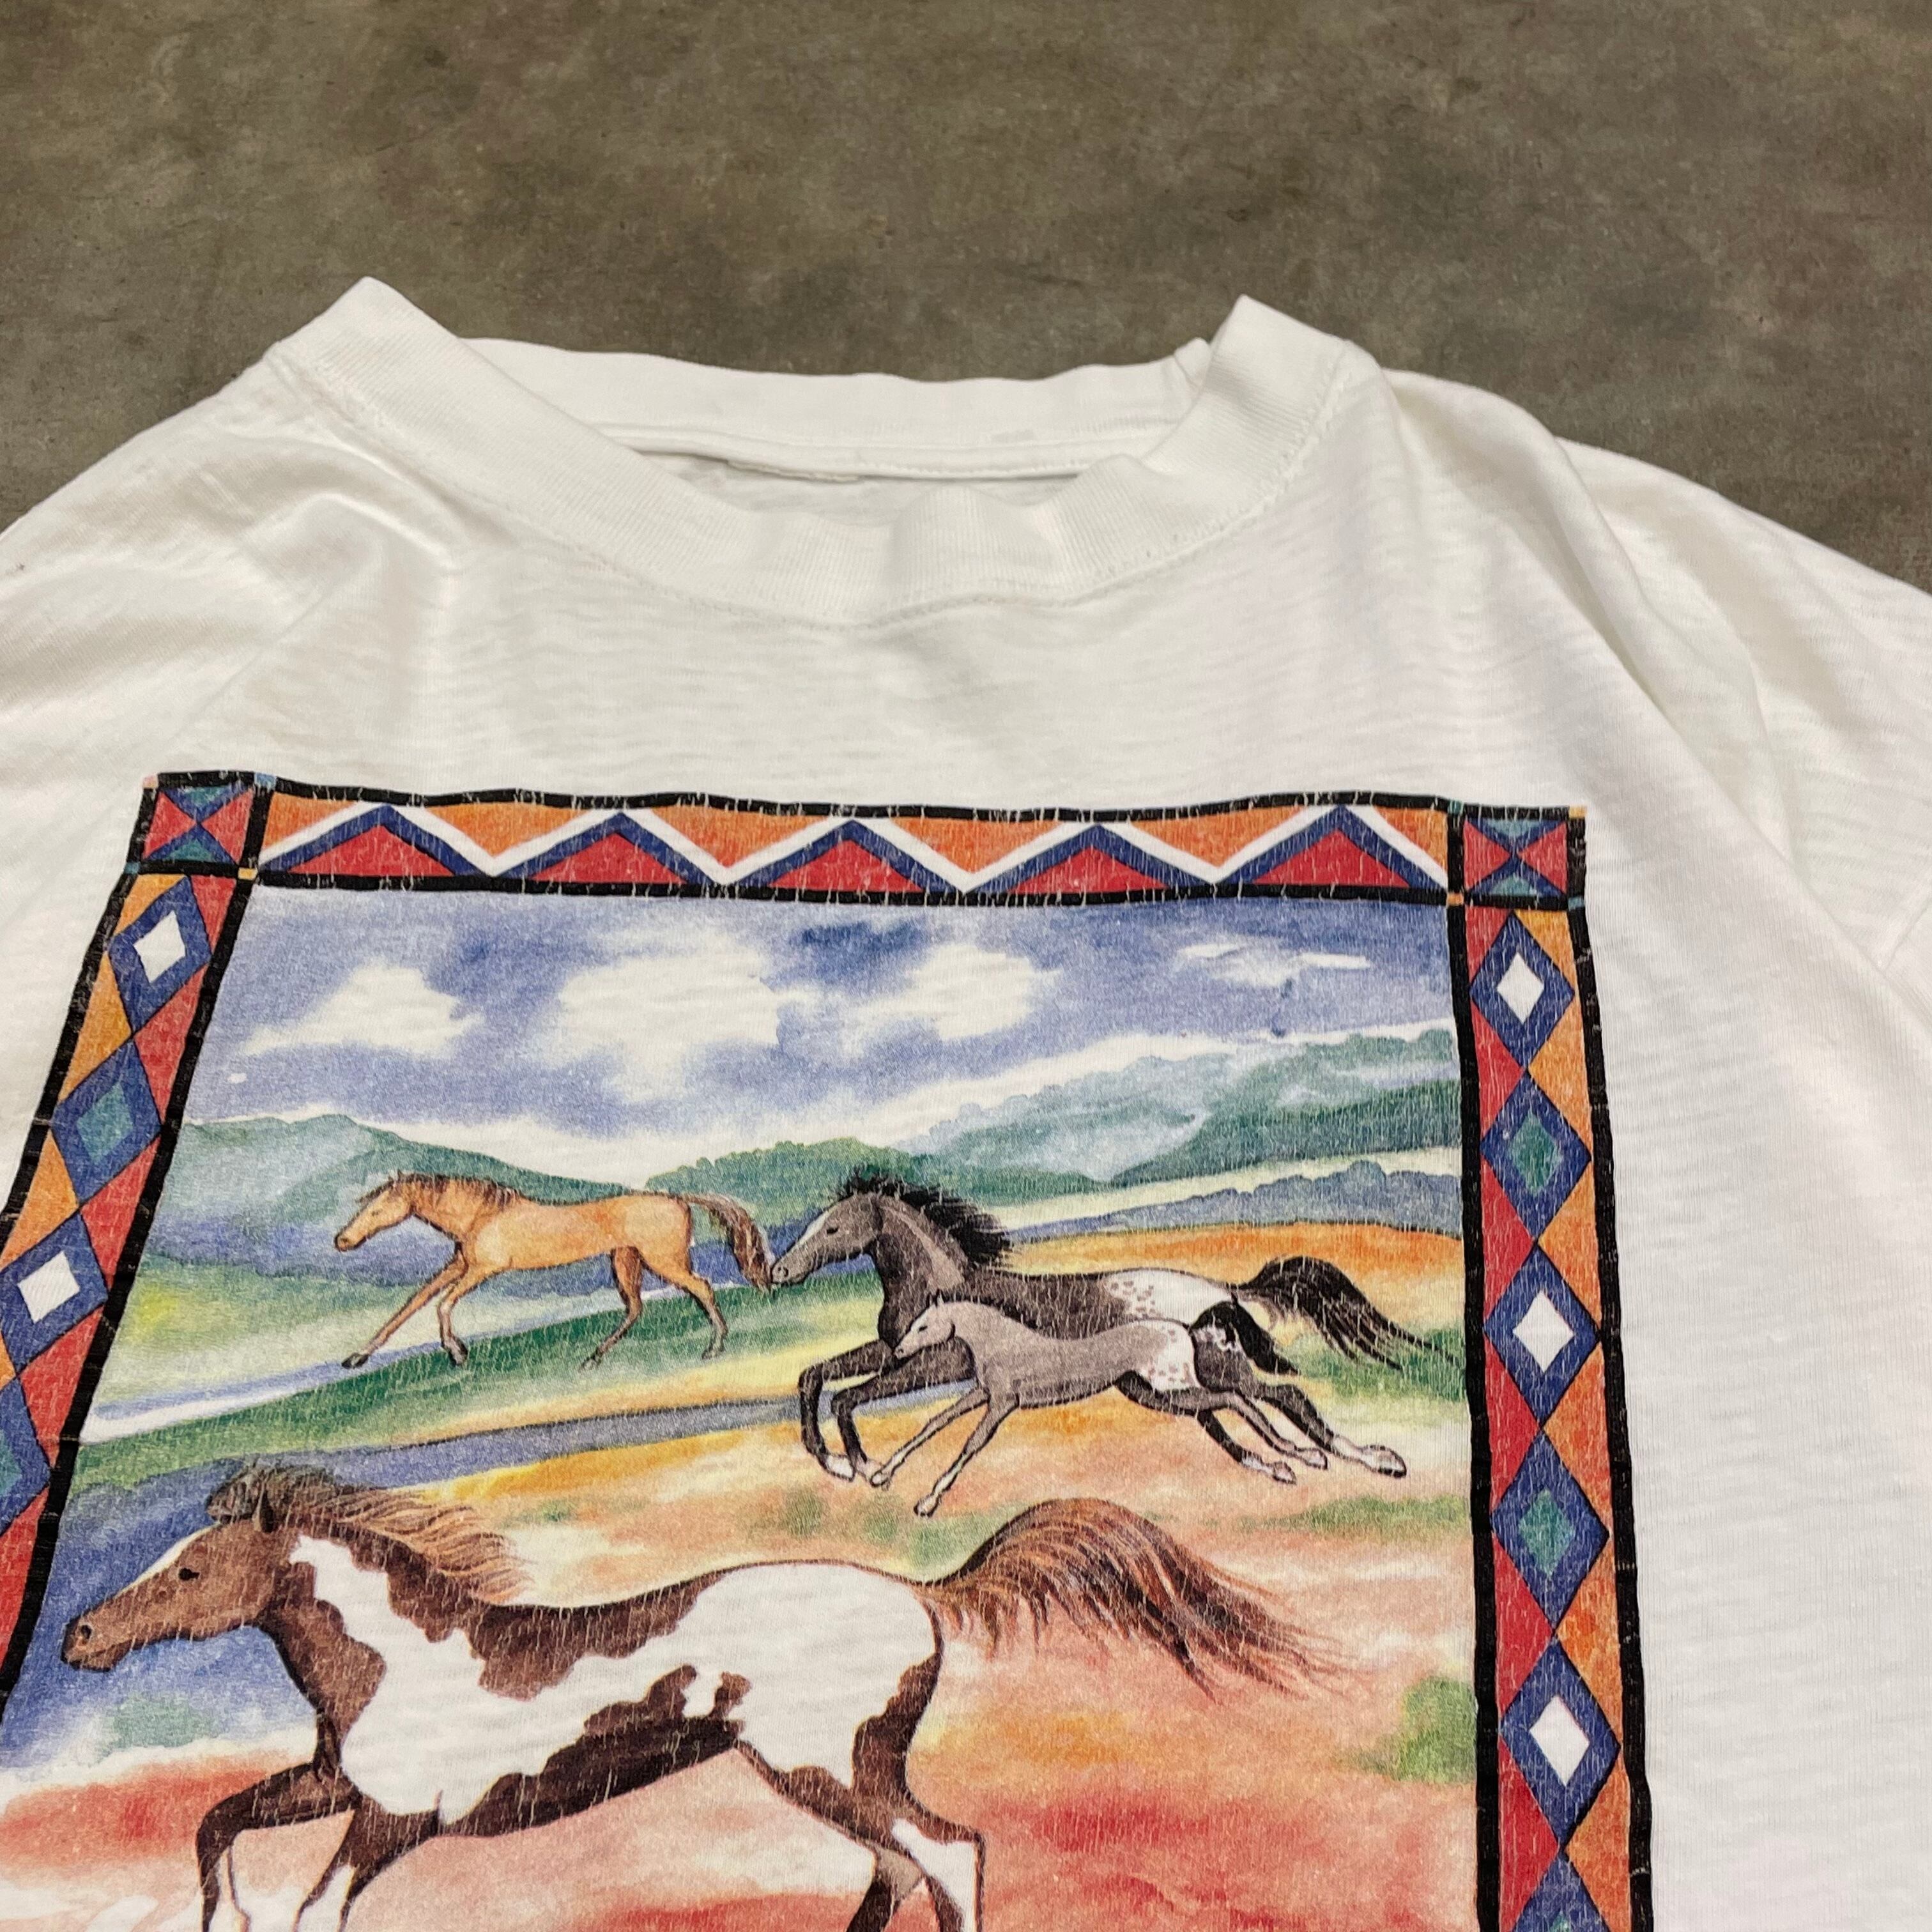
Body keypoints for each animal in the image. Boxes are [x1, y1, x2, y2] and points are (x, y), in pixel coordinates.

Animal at [62, 1465, 1311, 1932]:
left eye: (189, 1571)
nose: (78, 1635)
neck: (403, 1660)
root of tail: (922, 1592)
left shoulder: (396, 1816)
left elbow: (315, 1908)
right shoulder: (336, 1779)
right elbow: (217, 1819)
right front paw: (219, 1916)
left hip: (822, 1760)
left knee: (946, 1852)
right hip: (820, 1771)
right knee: (901, 1860)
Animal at [334, 1173, 774, 1369]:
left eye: (377, 1210)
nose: (342, 1240)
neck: (482, 1215)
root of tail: (677, 1198)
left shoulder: (483, 1269)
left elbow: (442, 1304)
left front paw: (457, 1353)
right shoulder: (460, 1264)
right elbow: (410, 1306)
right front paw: (356, 1357)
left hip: (663, 1260)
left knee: (702, 1287)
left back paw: (714, 1347)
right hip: (625, 1261)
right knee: (635, 1308)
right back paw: (593, 1357)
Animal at [771, 1172, 1422, 1487]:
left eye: (833, 1229)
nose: (779, 1271)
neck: (944, 1287)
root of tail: (1228, 1291)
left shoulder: (935, 1363)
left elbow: (850, 1397)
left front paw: (858, 1466)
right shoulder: (895, 1349)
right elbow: (814, 1377)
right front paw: (840, 1464)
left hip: (1205, 1368)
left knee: (1279, 1395)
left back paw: (1372, 1459)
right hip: (1152, 1387)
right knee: (1224, 1417)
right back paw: (1283, 1466)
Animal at [874, 1301, 1329, 1515]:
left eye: (923, 1325)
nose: (897, 1352)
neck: (1001, 1343)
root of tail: (1186, 1329)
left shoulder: (1002, 1403)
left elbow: (969, 1444)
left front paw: (927, 1502)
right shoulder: (981, 1394)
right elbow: (934, 1422)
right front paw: (881, 1474)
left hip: (1175, 1386)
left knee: (1240, 1399)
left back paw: (1306, 1456)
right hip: (1160, 1394)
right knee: (1241, 1406)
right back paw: (1288, 1464)